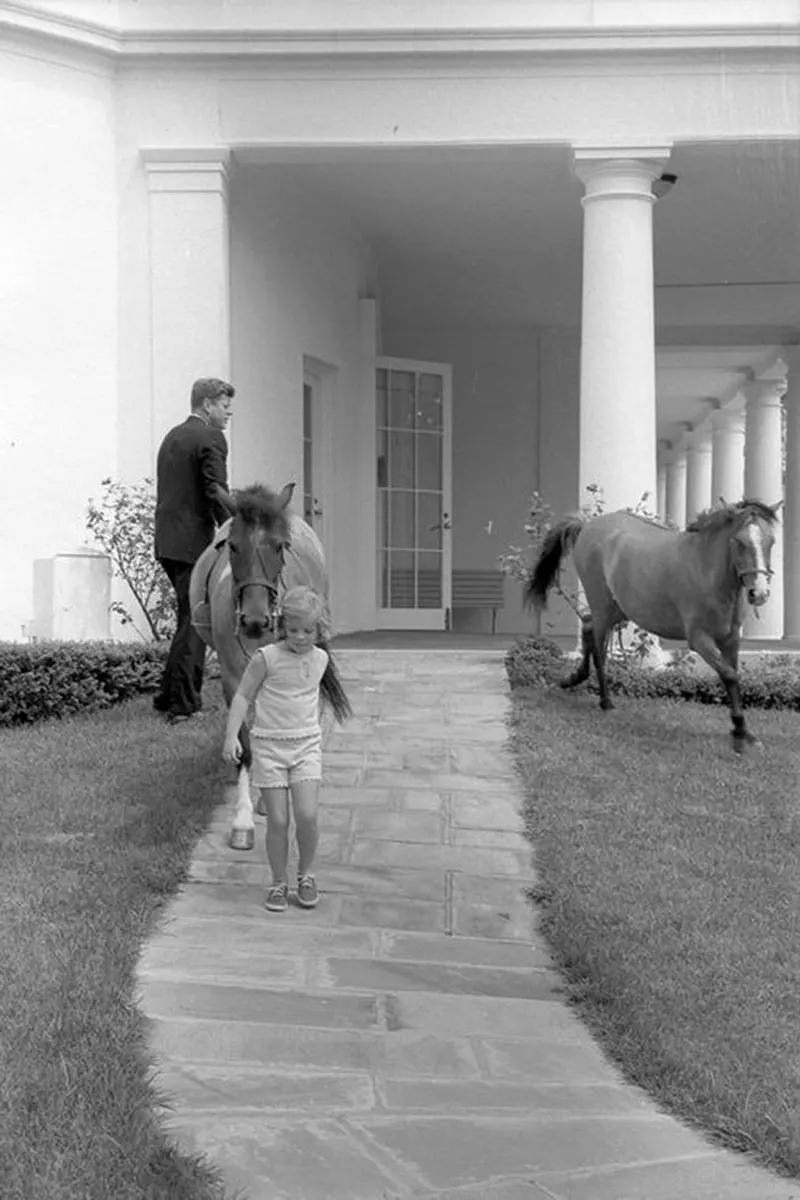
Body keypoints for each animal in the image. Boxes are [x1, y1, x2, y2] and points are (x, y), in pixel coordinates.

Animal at [522, 496, 777, 748]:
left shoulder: (731, 639)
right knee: (599, 651)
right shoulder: (699, 639)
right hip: (602, 605)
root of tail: (587, 525)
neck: (706, 571)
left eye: (771, 541)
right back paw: (605, 701)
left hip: (617, 609)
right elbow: (730, 675)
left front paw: (742, 731)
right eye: (739, 541)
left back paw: (573, 679)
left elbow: (732, 675)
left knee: (586, 626)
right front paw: (741, 730)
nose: (759, 593)